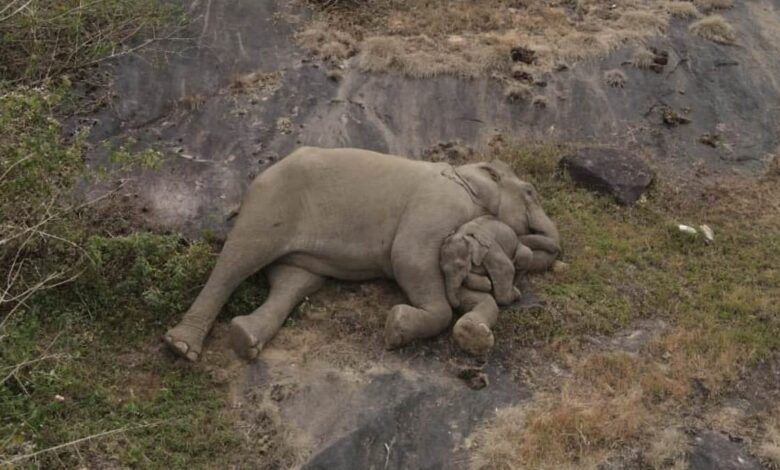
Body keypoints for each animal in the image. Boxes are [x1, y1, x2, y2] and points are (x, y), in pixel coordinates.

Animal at [440, 215, 561, 355]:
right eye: (442, 270)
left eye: (460, 266)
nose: (457, 307)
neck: (462, 234)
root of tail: (518, 237)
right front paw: (487, 284)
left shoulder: (491, 248)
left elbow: (505, 268)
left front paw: (512, 296)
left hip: (520, 250)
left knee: (524, 257)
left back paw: (515, 289)